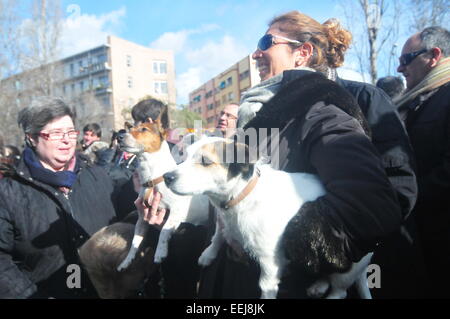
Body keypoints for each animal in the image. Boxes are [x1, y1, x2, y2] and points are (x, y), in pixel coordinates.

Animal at [115, 121, 208, 272]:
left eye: (144, 129)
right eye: (130, 129)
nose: (119, 136)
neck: (152, 181)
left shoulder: (176, 212)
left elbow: (164, 231)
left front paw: (160, 252)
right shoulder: (142, 218)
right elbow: (135, 241)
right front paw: (127, 260)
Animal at [162, 137, 372, 300]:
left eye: (205, 161)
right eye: (185, 156)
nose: (166, 177)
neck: (242, 197)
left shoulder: (270, 264)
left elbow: (266, 288)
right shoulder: (223, 222)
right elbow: (218, 236)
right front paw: (209, 253)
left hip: (347, 268)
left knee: (339, 291)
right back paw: (318, 285)